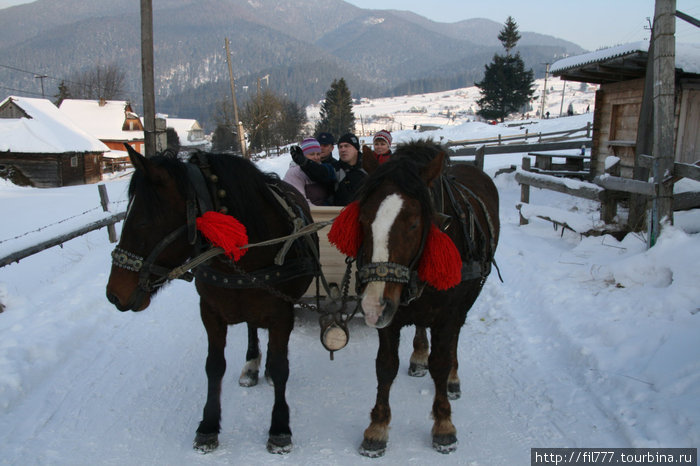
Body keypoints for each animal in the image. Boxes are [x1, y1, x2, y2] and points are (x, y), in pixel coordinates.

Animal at [105, 147, 318, 456]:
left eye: (143, 222)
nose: (113, 294)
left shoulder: (282, 311)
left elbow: (281, 368)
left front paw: (279, 428)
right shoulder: (210, 313)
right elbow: (214, 366)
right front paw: (208, 426)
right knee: (252, 327)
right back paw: (252, 365)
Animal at [330, 140, 498, 456]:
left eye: (413, 224)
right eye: (363, 219)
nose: (372, 306)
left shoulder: (447, 315)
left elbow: (441, 362)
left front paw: (444, 425)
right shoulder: (390, 317)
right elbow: (385, 366)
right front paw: (377, 427)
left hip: (469, 298)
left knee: (456, 337)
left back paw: (453, 379)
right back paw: (419, 356)